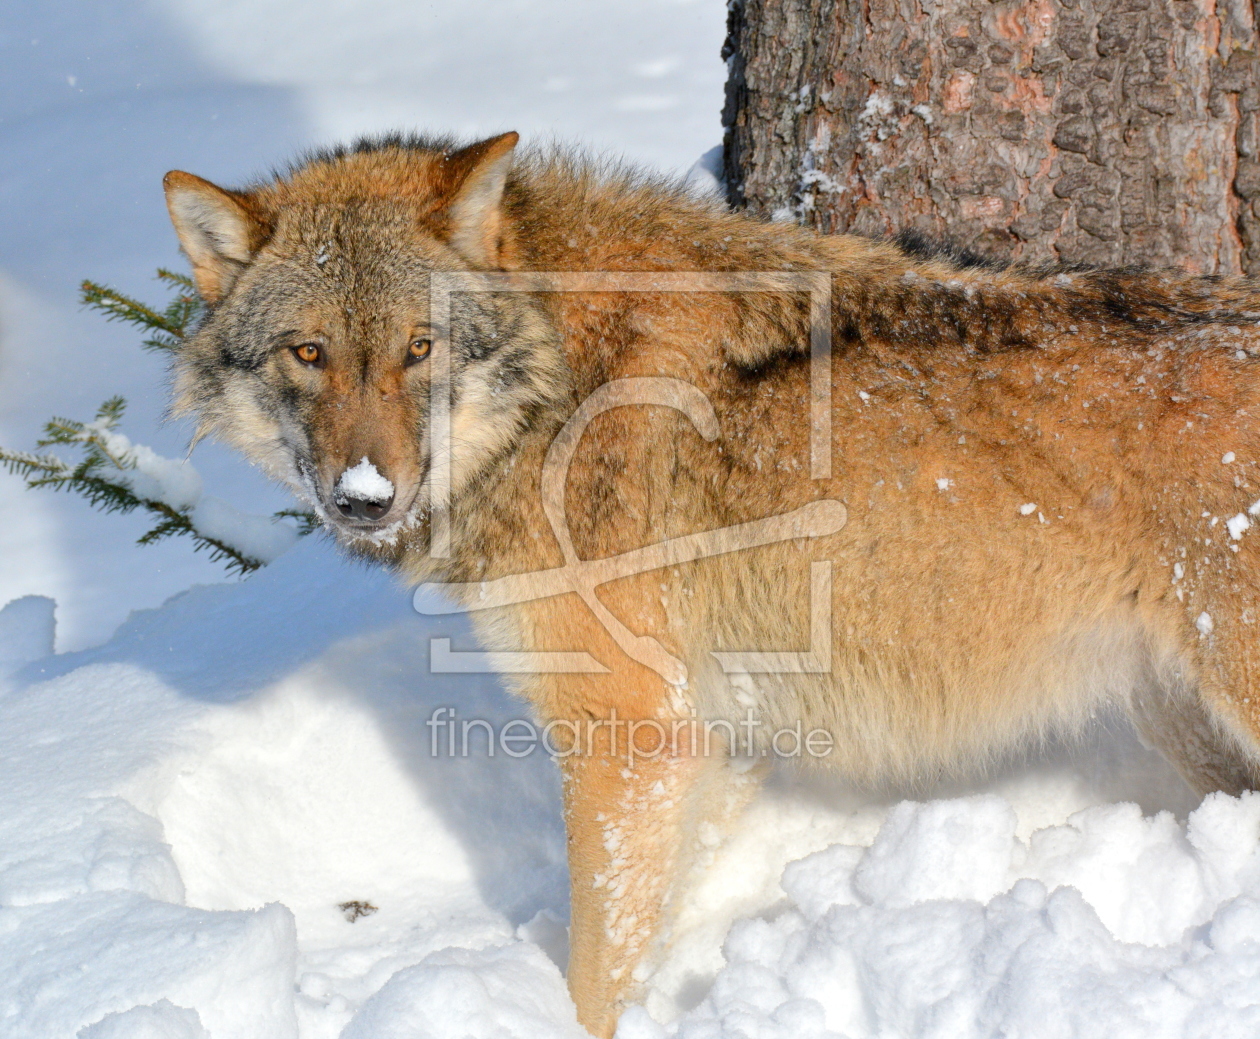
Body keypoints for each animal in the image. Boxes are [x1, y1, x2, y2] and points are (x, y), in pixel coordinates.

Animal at [162, 129, 1260, 1027]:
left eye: (418, 347)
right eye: (309, 352)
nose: (363, 496)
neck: (559, 385)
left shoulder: (631, 731)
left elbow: (595, 961)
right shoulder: (713, 735)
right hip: (1177, 718)